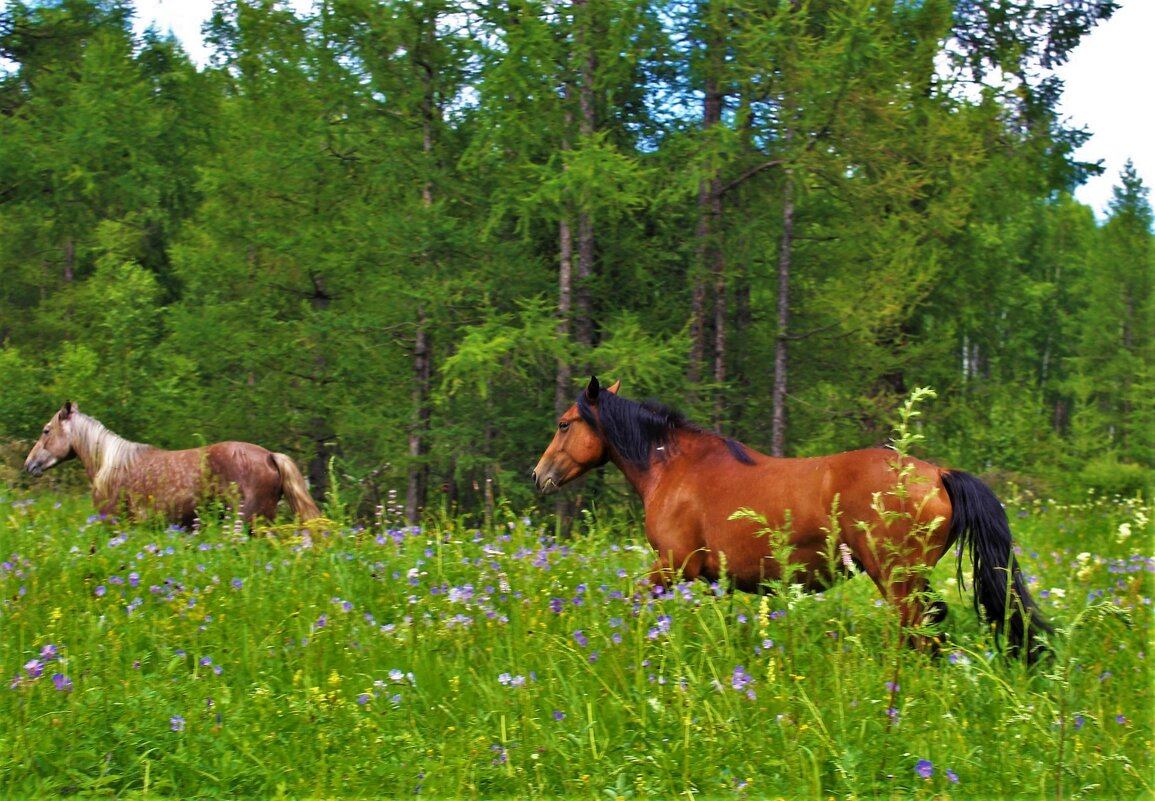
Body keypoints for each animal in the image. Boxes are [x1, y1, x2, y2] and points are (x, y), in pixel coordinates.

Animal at [531, 378, 1057, 660]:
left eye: (563, 423)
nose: (539, 476)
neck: (673, 467)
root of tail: (937, 473)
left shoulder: (673, 566)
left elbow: (634, 605)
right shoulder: (701, 578)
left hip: (897, 579)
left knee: (921, 634)